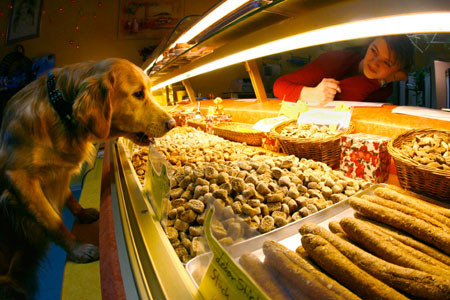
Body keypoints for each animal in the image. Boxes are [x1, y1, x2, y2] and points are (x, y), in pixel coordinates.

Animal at [0, 58, 175, 298]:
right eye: (138, 94)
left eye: (150, 90)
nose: (173, 123)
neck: (58, 107)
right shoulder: (19, 179)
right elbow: (52, 220)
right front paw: (79, 249)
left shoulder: (59, 173)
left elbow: (68, 197)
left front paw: (82, 213)